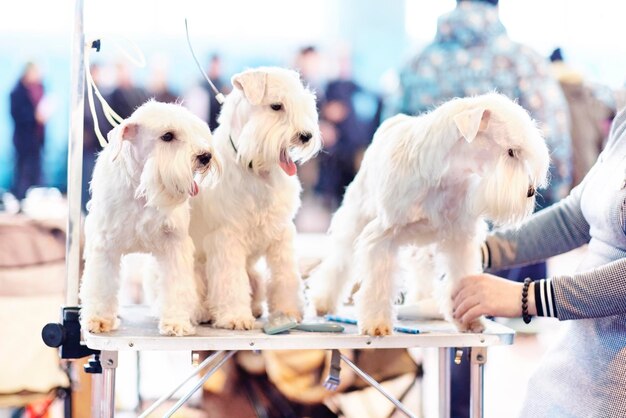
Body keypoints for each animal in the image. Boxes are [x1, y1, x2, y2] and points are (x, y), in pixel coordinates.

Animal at [80, 100, 219, 336]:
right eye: (167, 136)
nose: (205, 156)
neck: (142, 188)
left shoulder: (174, 245)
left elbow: (177, 286)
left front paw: (176, 322)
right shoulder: (105, 245)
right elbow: (102, 284)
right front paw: (99, 318)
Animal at [188, 66, 320, 330]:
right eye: (276, 106)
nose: (306, 135)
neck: (257, 170)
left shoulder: (281, 234)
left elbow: (285, 275)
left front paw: (287, 311)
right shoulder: (227, 238)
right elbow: (231, 282)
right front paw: (236, 317)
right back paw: (204, 312)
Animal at [306, 93, 544, 334]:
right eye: (511, 151)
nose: (530, 191)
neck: (448, 175)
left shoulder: (459, 238)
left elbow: (460, 276)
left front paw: (468, 319)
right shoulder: (383, 237)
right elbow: (378, 284)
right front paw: (376, 323)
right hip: (356, 218)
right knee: (340, 261)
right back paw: (323, 301)